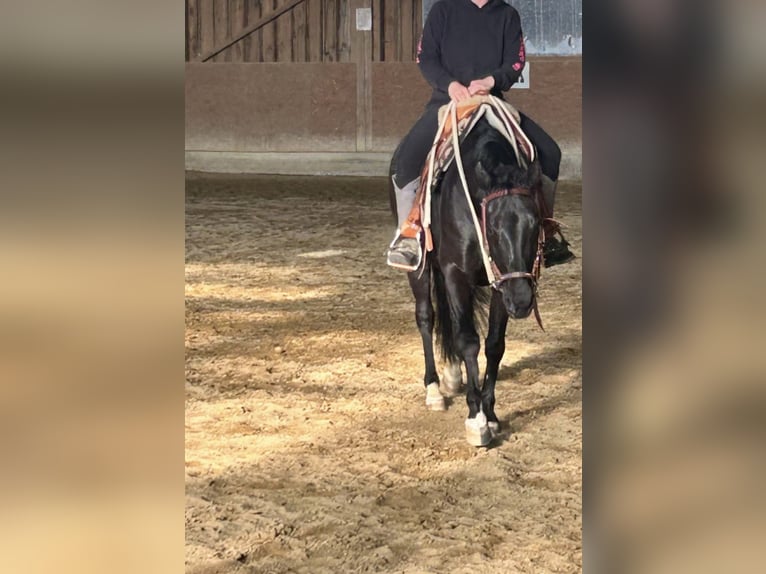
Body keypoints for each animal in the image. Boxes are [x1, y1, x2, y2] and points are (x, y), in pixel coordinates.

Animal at [389, 115, 545, 447]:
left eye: (536, 223)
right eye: (494, 228)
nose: (523, 301)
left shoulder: (502, 283)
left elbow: (494, 345)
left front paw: (492, 415)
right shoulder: (455, 274)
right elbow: (468, 341)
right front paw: (476, 418)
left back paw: (452, 375)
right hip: (421, 270)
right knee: (427, 317)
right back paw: (434, 390)